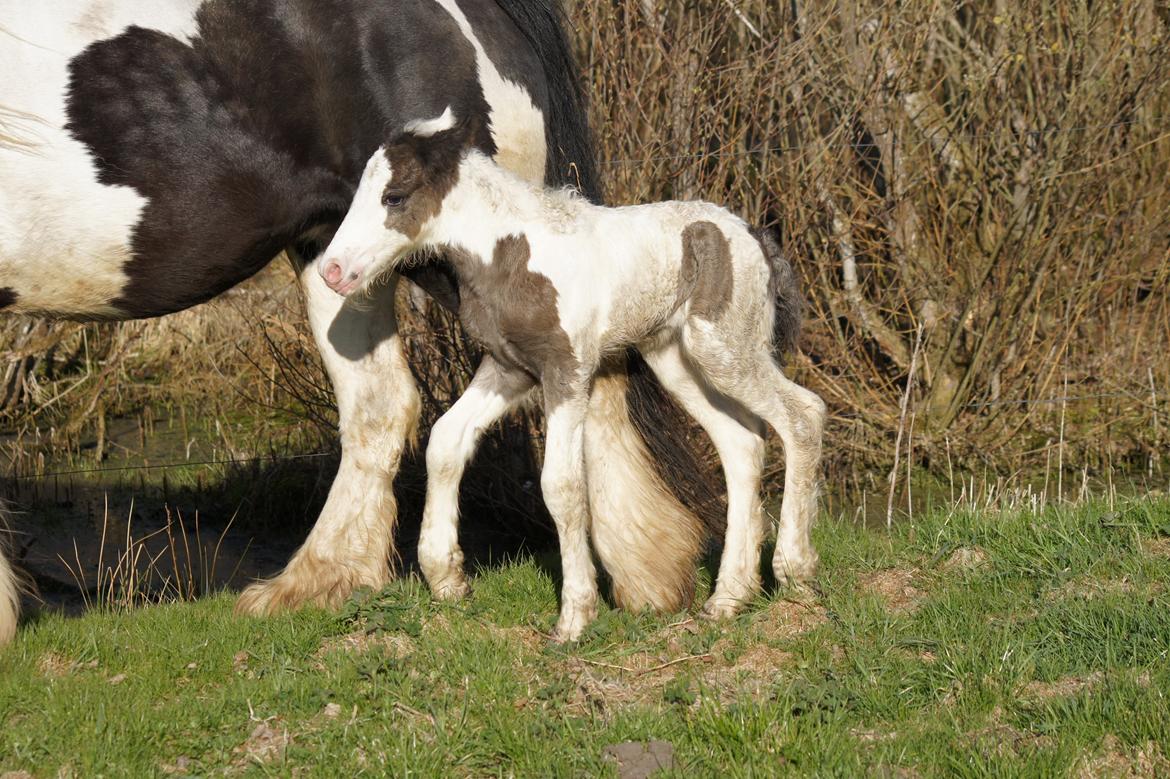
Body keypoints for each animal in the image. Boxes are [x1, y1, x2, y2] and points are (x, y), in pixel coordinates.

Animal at [320, 109, 828, 640]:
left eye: (394, 197)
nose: (332, 271)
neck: (512, 253)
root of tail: (755, 235)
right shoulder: (509, 369)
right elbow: (444, 441)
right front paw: (447, 580)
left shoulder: (567, 370)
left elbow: (561, 485)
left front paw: (574, 617)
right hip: (678, 360)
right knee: (741, 443)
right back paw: (728, 597)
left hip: (725, 348)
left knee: (802, 415)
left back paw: (795, 573)